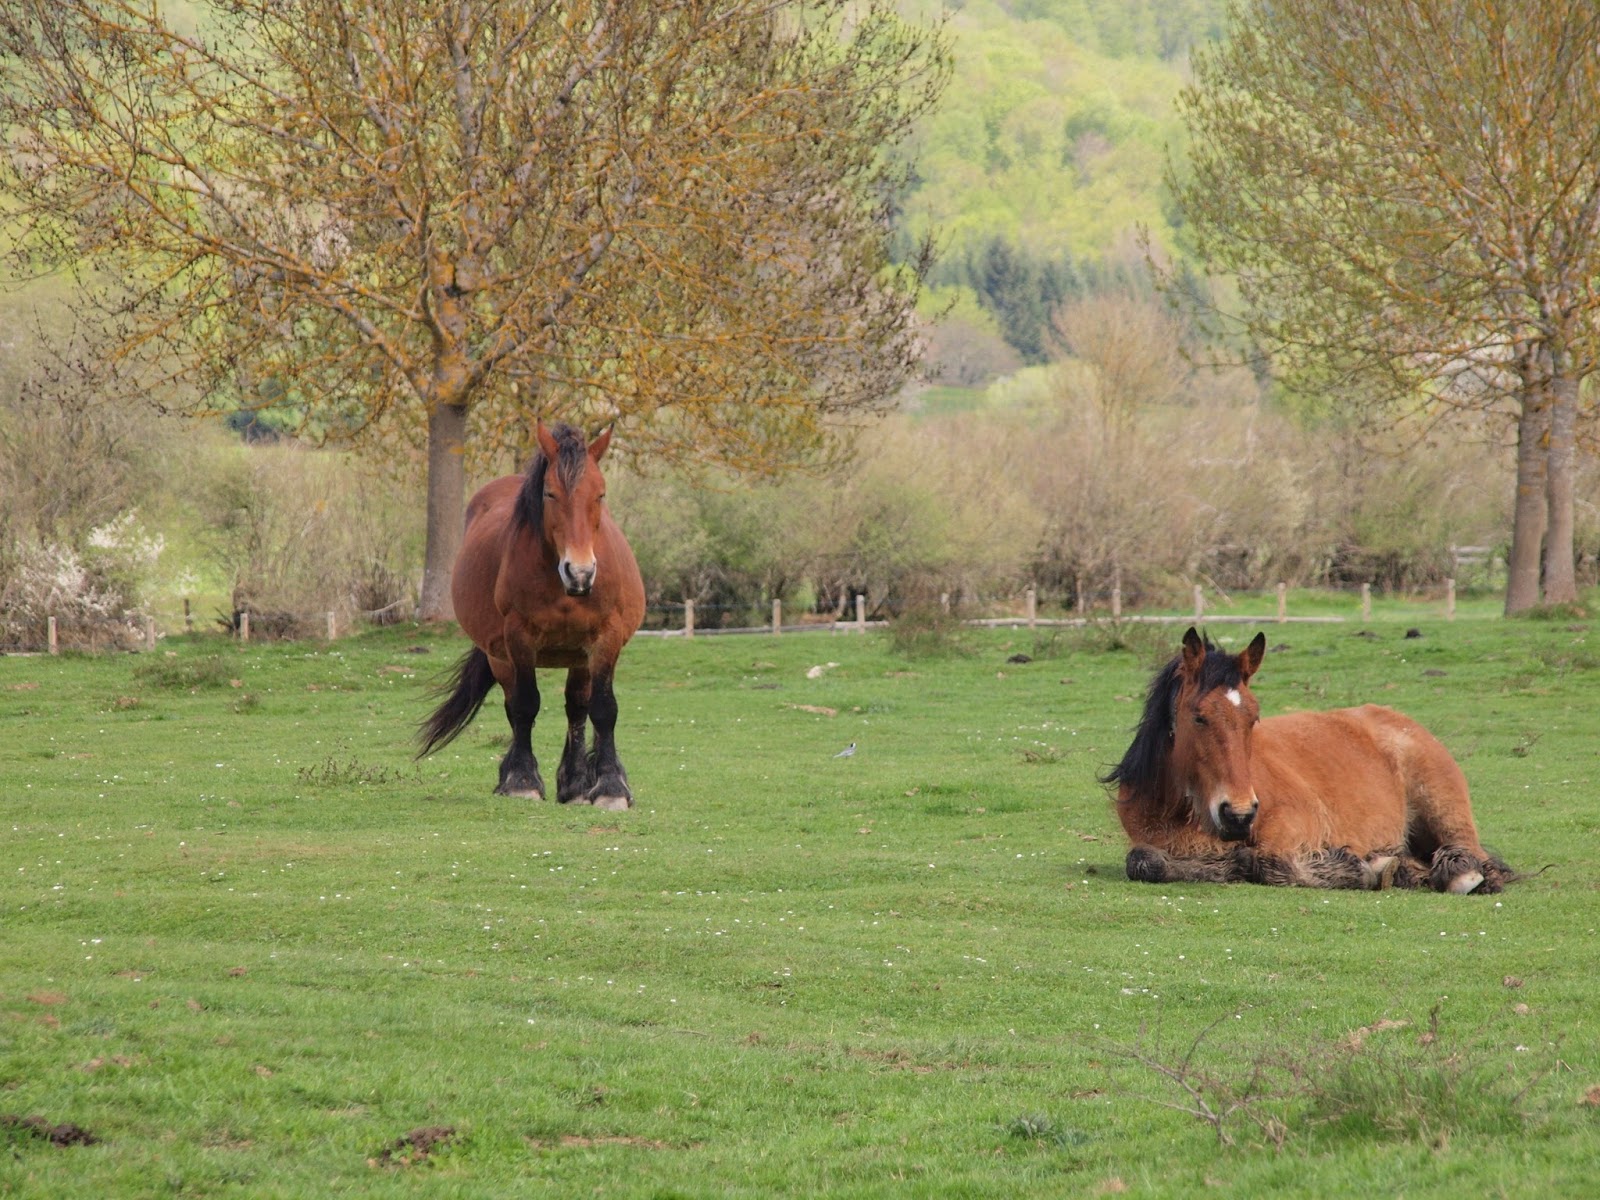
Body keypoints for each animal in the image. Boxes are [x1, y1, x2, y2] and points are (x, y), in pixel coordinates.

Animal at [418, 421, 646, 810]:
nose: (580, 573)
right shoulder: (518, 638)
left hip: (579, 656)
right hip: (500, 656)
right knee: (515, 706)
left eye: (600, 494)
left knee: (577, 708)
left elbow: (603, 708)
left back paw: (576, 783)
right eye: (550, 494)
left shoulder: (606, 638)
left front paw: (610, 786)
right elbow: (525, 706)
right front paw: (522, 782)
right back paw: (516, 775)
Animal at [1102, 627, 1512, 893]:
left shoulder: (1297, 822)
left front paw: (1351, 868)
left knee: (1476, 857)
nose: (1239, 815)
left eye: (1253, 717)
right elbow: (1144, 861)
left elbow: (1271, 862)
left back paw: (1460, 875)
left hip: (1443, 809)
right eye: (1199, 717)